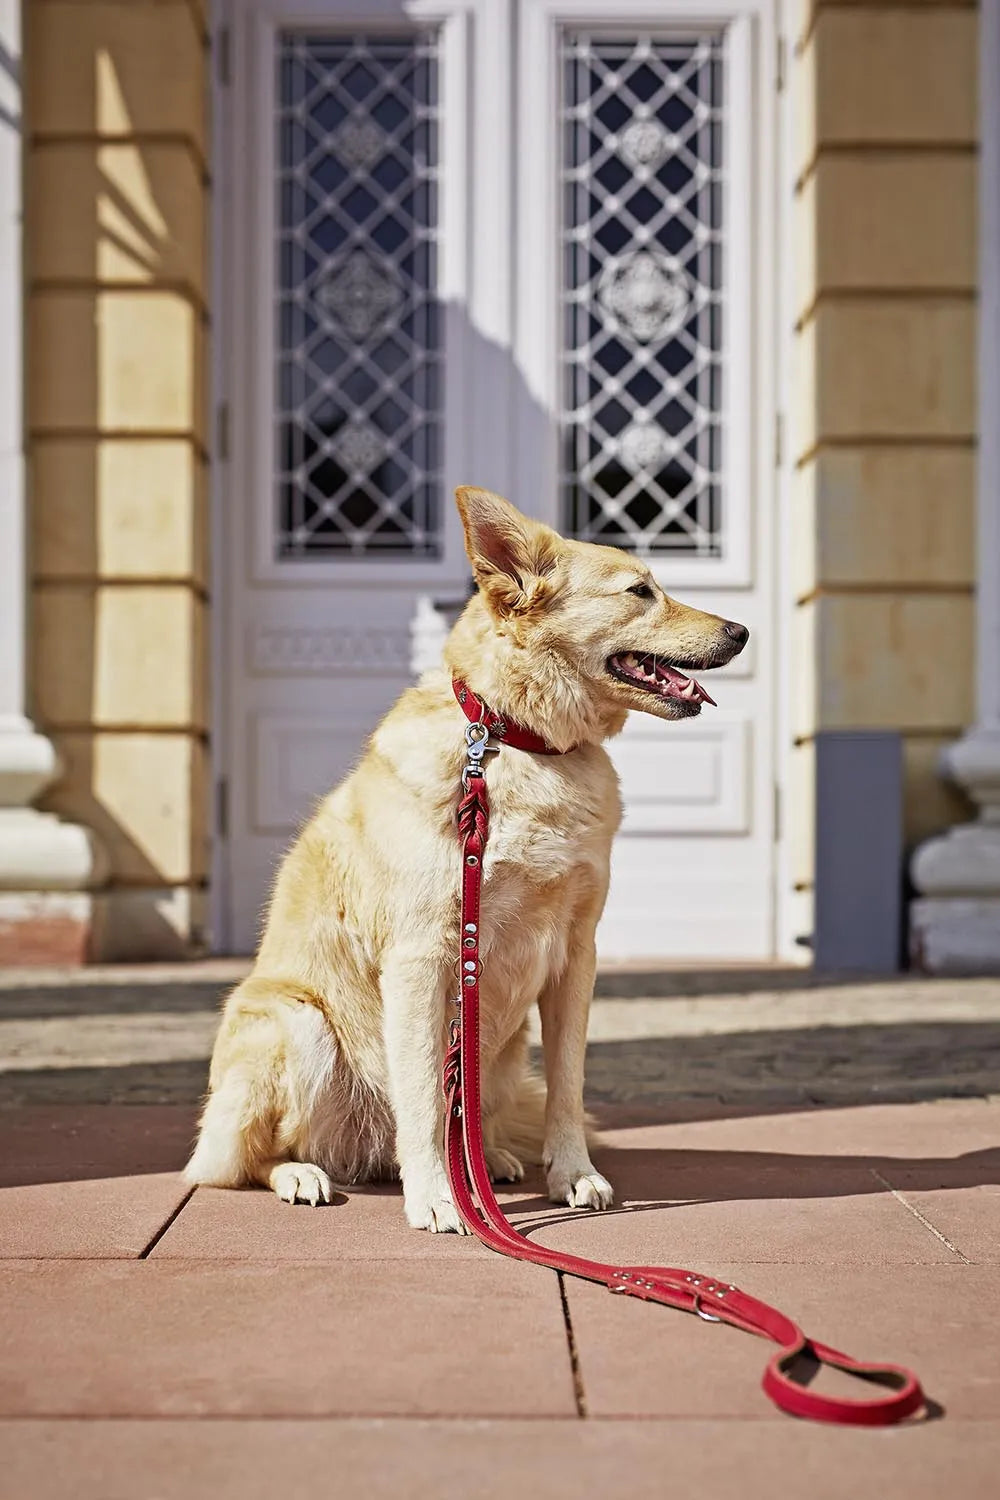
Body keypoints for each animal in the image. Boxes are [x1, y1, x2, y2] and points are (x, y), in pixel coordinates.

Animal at [185, 489, 749, 1230]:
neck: (519, 742)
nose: (742, 631)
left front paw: (572, 1174)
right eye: (639, 591)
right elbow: (424, 1099)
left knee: (468, 1121)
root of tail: (361, 1152)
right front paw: (434, 1197)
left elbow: (568, 1086)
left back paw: (491, 1163)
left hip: (501, 1054)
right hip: (298, 1025)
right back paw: (307, 1174)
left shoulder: (576, 956)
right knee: (243, 1162)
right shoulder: (423, 958)